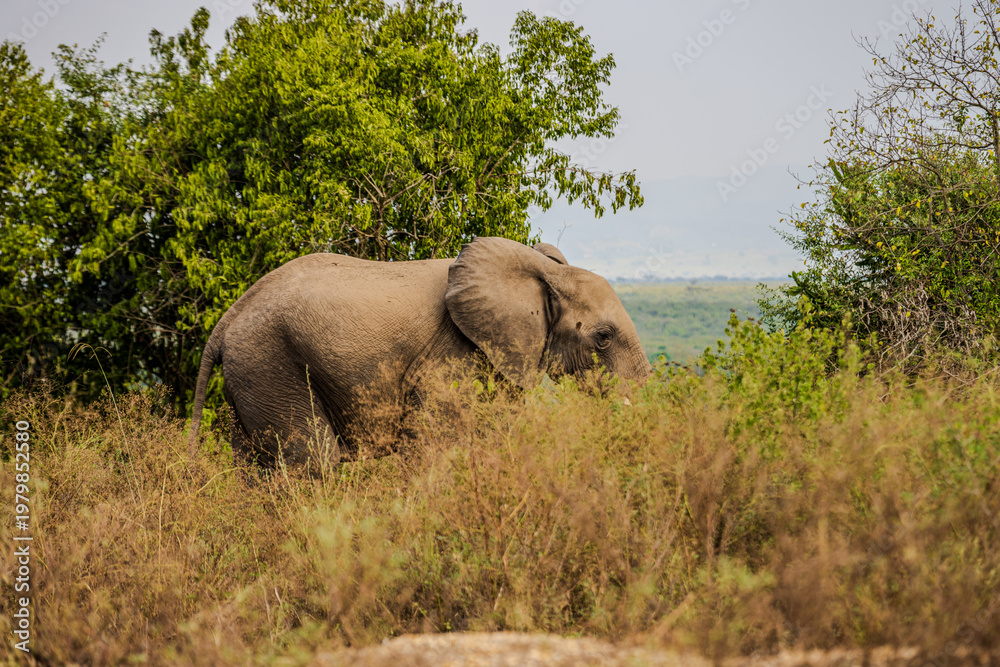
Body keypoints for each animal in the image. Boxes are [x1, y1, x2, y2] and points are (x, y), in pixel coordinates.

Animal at [187, 236, 652, 467]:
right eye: (603, 337)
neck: (545, 272)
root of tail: (229, 317)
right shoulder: (451, 357)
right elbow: (434, 449)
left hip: (251, 373)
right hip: (272, 363)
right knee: (313, 461)